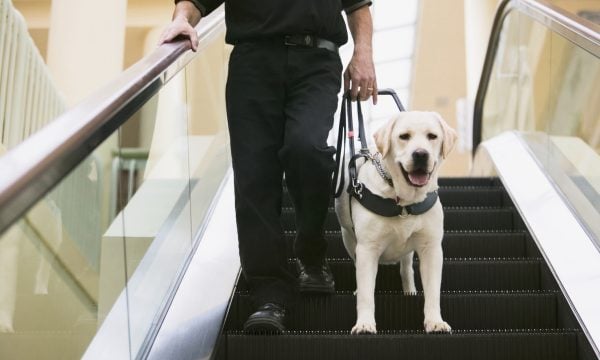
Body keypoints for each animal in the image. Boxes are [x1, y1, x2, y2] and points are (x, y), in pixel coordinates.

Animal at [336, 110, 458, 334]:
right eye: (404, 136)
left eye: (432, 136)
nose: (421, 154)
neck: (404, 201)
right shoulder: (367, 248)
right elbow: (366, 292)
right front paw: (364, 323)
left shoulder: (432, 248)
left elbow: (433, 290)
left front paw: (435, 321)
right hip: (348, 237)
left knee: (406, 267)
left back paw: (410, 290)